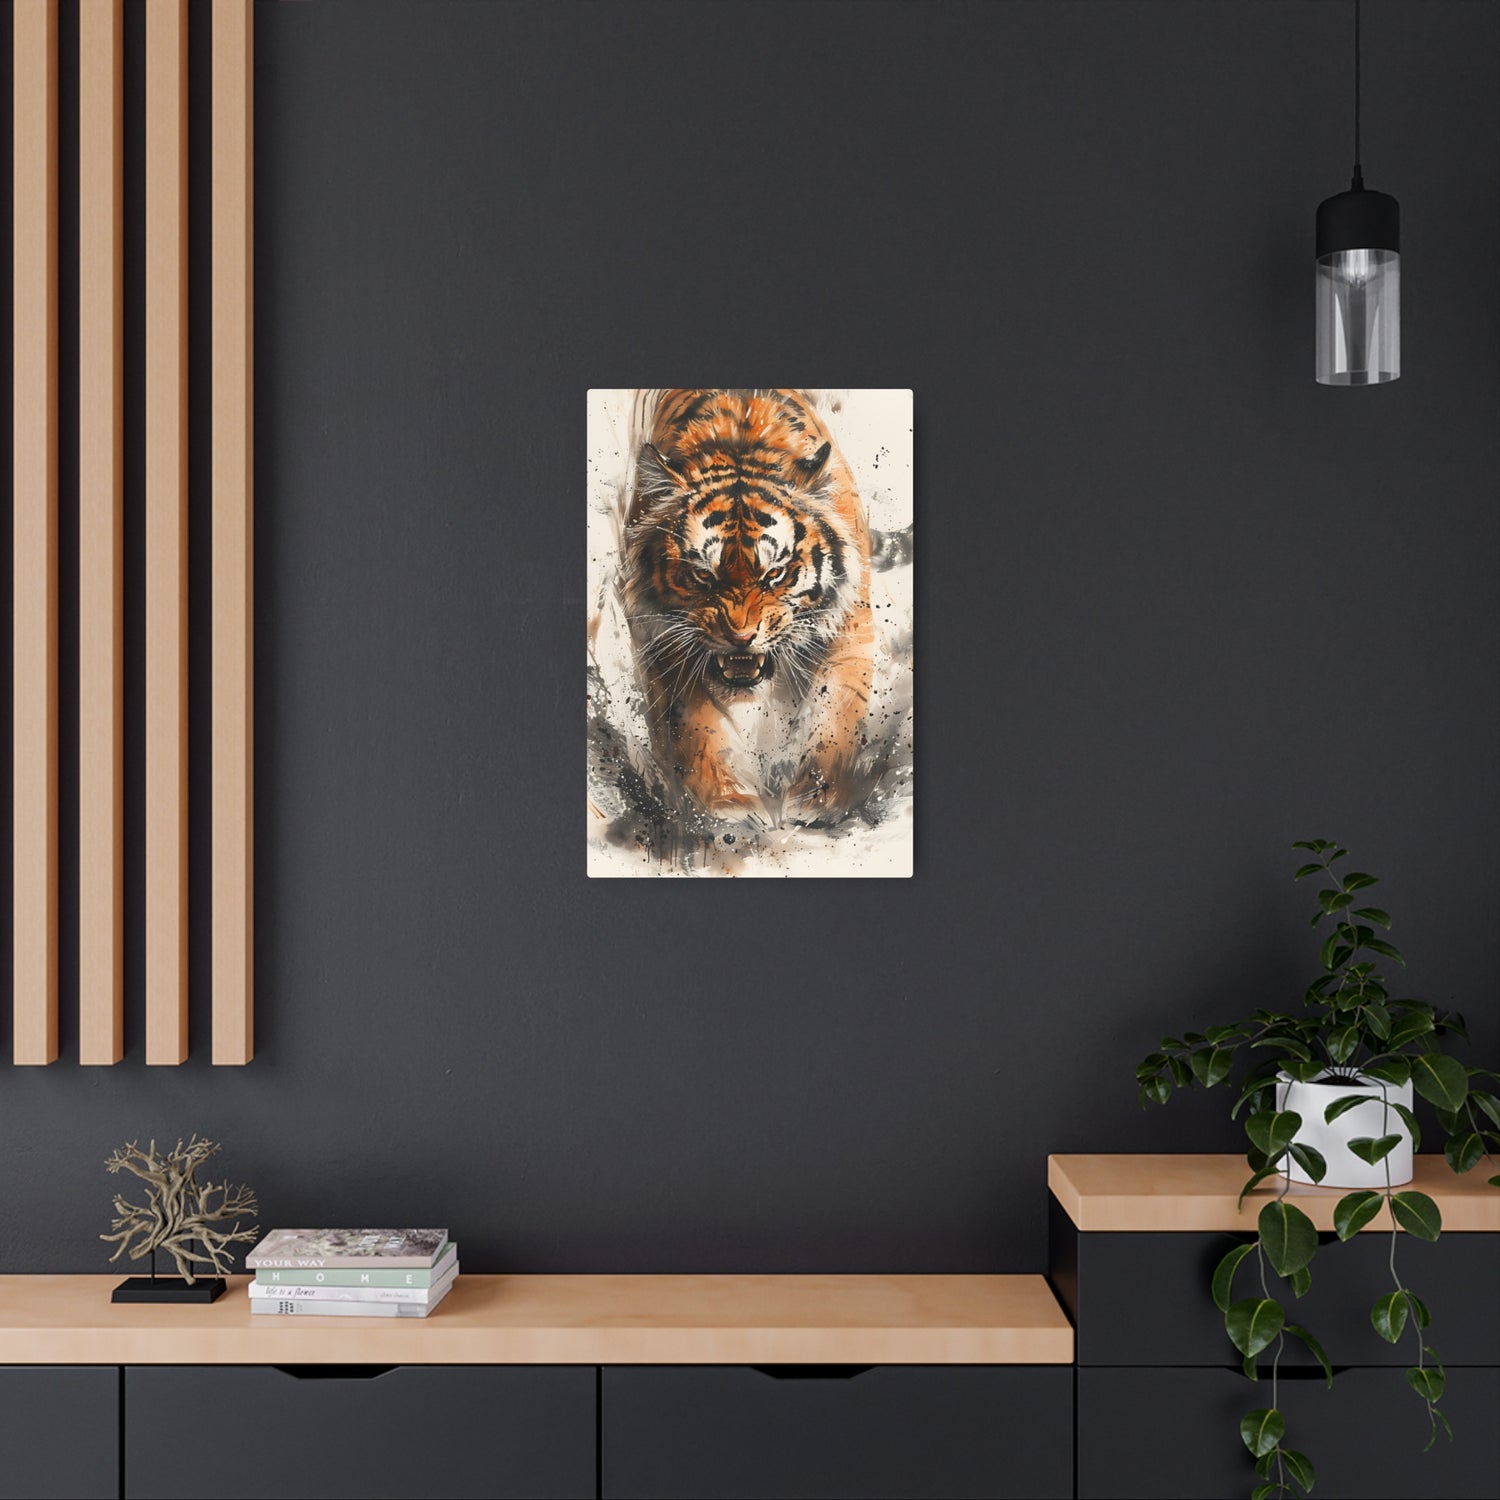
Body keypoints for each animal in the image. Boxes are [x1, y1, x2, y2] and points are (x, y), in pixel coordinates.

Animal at [622, 389, 874, 826]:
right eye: (703, 576)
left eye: (774, 574)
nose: (740, 637)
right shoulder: (662, 638)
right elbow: (694, 725)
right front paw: (726, 804)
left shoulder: (849, 624)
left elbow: (834, 712)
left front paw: (816, 797)